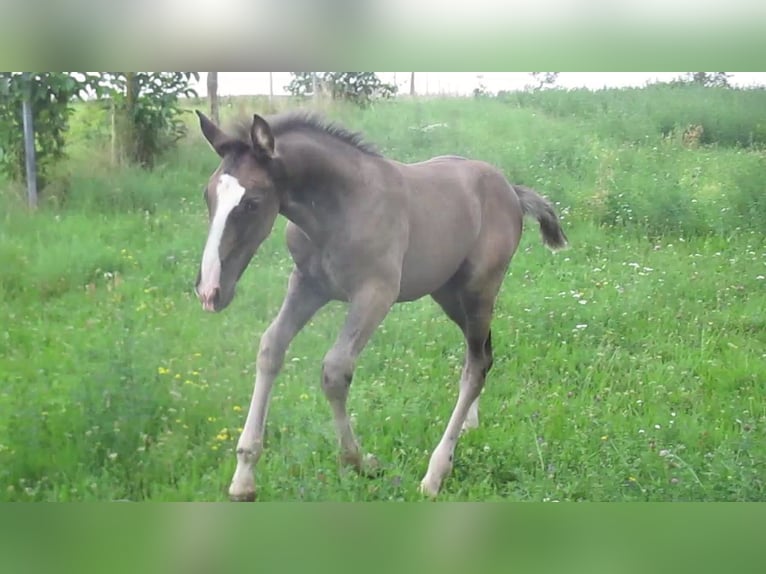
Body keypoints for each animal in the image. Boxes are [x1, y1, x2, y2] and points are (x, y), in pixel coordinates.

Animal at [192, 110, 568, 502]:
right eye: (207, 195)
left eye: (252, 202)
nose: (210, 291)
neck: (341, 207)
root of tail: (511, 189)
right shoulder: (307, 286)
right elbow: (270, 348)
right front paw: (243, 477)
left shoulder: (376, 293)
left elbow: (335, 370)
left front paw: (359, 461)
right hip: (449, 295)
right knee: (483, 355)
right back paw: (469, 425)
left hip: (479, 290)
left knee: (475, 367)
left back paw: (436, 473)